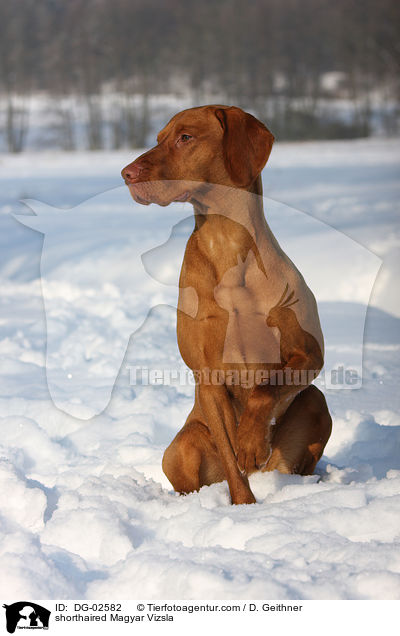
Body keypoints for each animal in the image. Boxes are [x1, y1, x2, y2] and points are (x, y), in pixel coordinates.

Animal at [121, 107, 332, 504]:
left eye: (185, 137)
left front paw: (250, 440)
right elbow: (232, 457)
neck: (227, 244)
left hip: (316, 403)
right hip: (180, 448)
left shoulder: (309, 355)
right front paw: (244, 506)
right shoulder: (207, 376)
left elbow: (264, 389)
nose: (126, 173)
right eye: (159, 138)